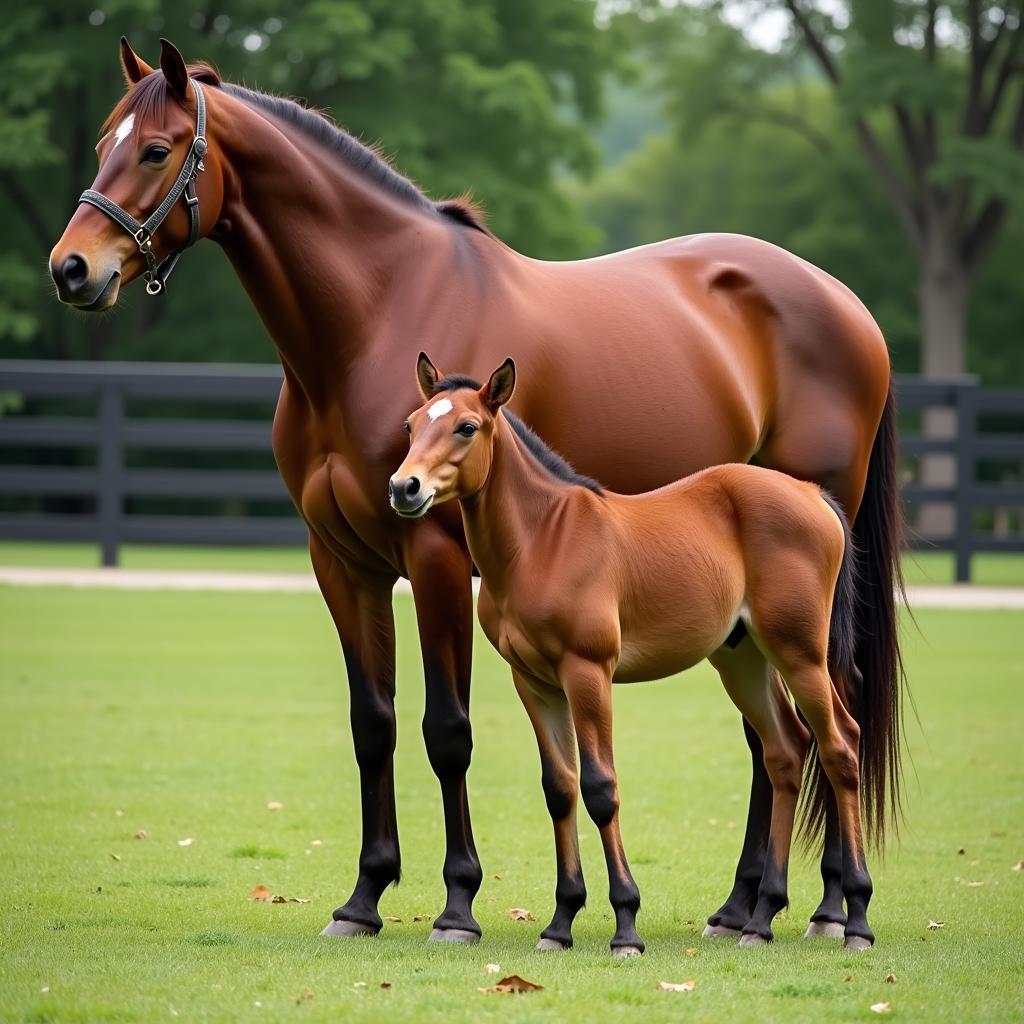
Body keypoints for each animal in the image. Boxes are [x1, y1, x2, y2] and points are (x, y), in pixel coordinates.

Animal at [391, 356, 872, 954]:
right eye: (411, 425)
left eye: (466, 427)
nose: (403, 488)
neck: (542, 541)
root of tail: (811, 494)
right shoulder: (535, 682)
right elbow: (560, 788)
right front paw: (560, 923)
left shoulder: (588, 673)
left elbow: (601, 787)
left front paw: (625, 924)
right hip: (744, 660)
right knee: (786, 751)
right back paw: (760, 919)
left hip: (800, 653)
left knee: (840, 746)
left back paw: (855, 919)